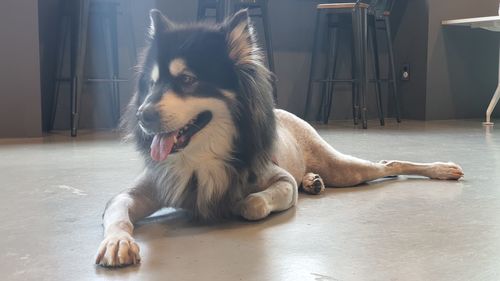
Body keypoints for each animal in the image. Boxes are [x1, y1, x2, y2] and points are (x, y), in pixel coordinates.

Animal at [94, 8, 464, 266]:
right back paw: (313, 181)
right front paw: (116, 242)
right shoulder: (141, 189)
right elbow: (117, 210)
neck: (202, 156)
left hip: (344, 167)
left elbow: (257, 202)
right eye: (152, 83)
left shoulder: (280, 180)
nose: (142, 116)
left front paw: (240, 203)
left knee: (388, 164)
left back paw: (441, 169)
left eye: (187, 79)